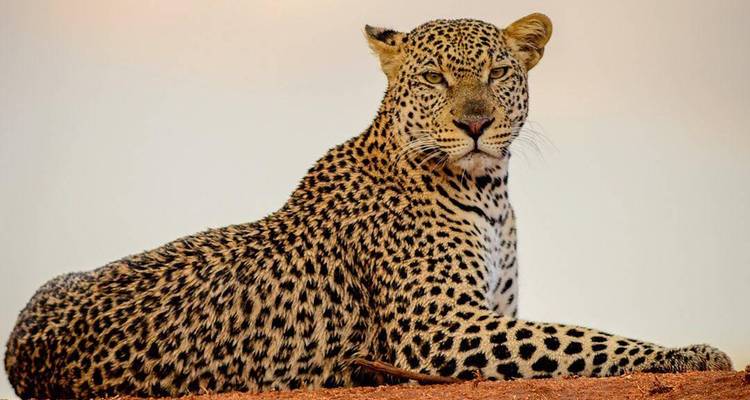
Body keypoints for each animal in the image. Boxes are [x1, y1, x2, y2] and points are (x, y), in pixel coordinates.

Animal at [5, 13, 732, 399]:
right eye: (435, 77)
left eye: (498, 74)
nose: (474, 123)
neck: (488, 191)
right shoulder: (440, 327)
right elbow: (578, 339)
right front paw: (691, 354)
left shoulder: (485, 314)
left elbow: (569, 337)